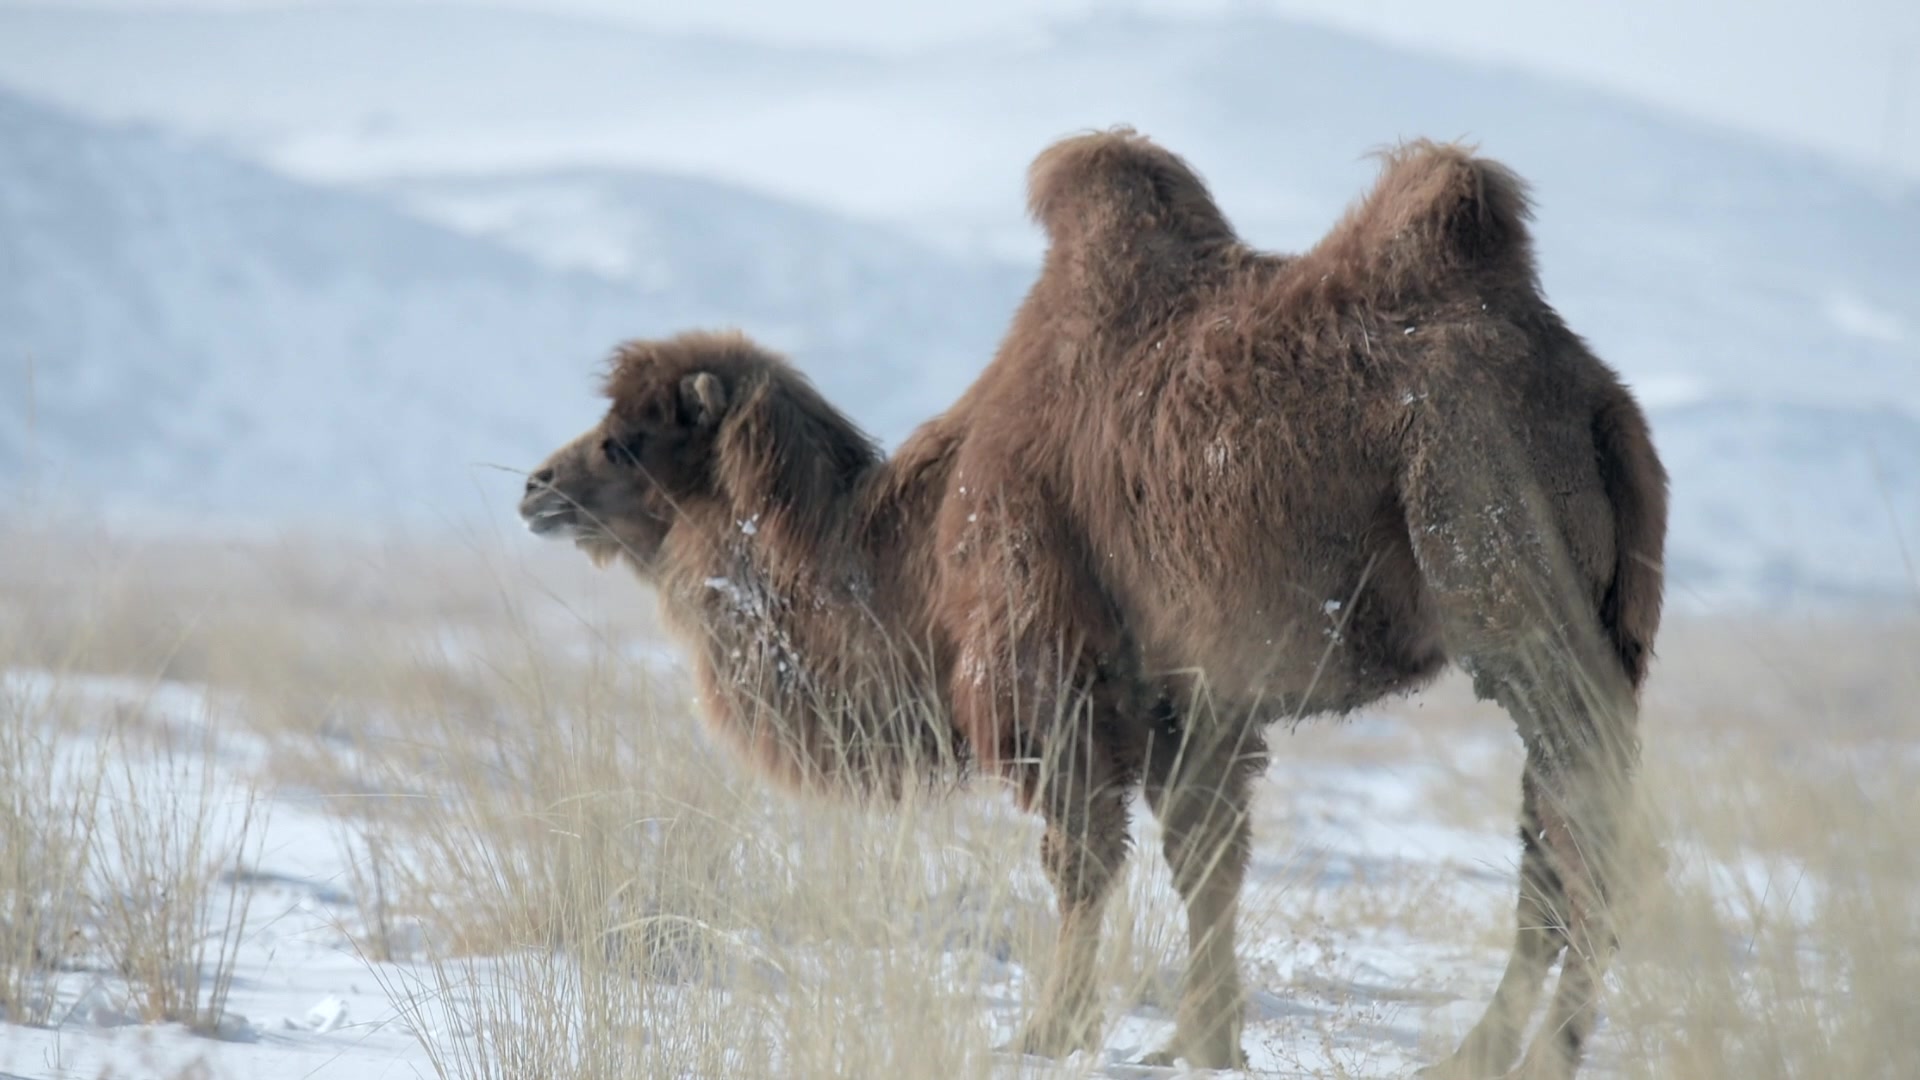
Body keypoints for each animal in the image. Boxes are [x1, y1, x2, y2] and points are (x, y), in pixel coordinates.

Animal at [518, 127, 1658, 1076]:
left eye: (625, 440)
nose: (536, 488)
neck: (915, 549)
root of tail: (1590, 392)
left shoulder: (1052, 665)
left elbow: (1081, 861)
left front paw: (1049, 1031)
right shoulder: (1194, 692)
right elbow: (1208, 858)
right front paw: (1203, 1043)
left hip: (1493, 558)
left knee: (1577, 808)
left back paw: (1537, 1051)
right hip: (1608, 618)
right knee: (1551, 819)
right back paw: (1495, 1047)